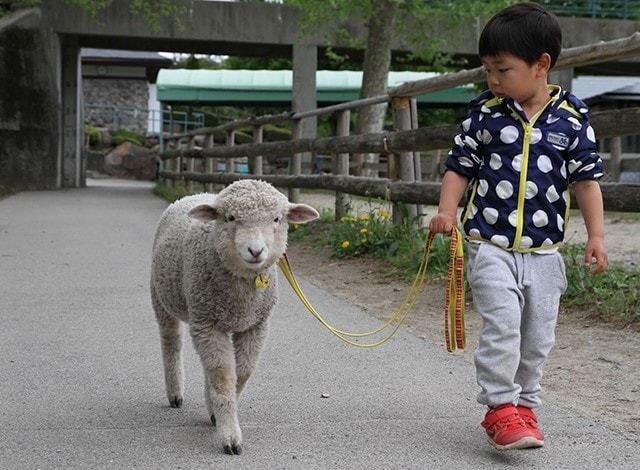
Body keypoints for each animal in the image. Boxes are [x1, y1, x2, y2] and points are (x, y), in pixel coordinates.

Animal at [151, 178, 320, 454]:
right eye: (230, 217)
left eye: (277, 219)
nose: (256, 250)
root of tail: (196, 194)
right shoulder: (207, 324)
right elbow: (222, 376)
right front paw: (230, 437)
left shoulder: (255, 325)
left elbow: (241, 373)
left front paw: (215, 413)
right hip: (162, 298)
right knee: (171, 342)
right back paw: (175, 393)